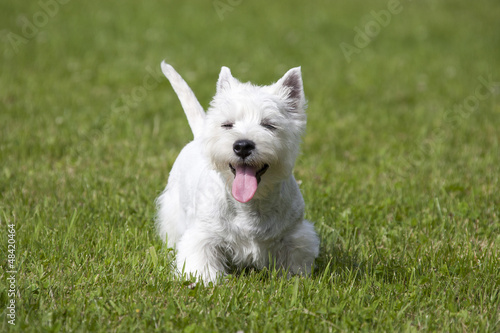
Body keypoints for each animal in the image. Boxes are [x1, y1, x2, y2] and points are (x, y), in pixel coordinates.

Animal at [156, 62, 320, 282]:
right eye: (227, 124)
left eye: (269, 125)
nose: (242, 146)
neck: (250, 205)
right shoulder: (203, 234)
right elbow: (201, 262)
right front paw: (204, 280)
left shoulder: (294, 234)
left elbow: (295, 261)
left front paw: (295, 279)